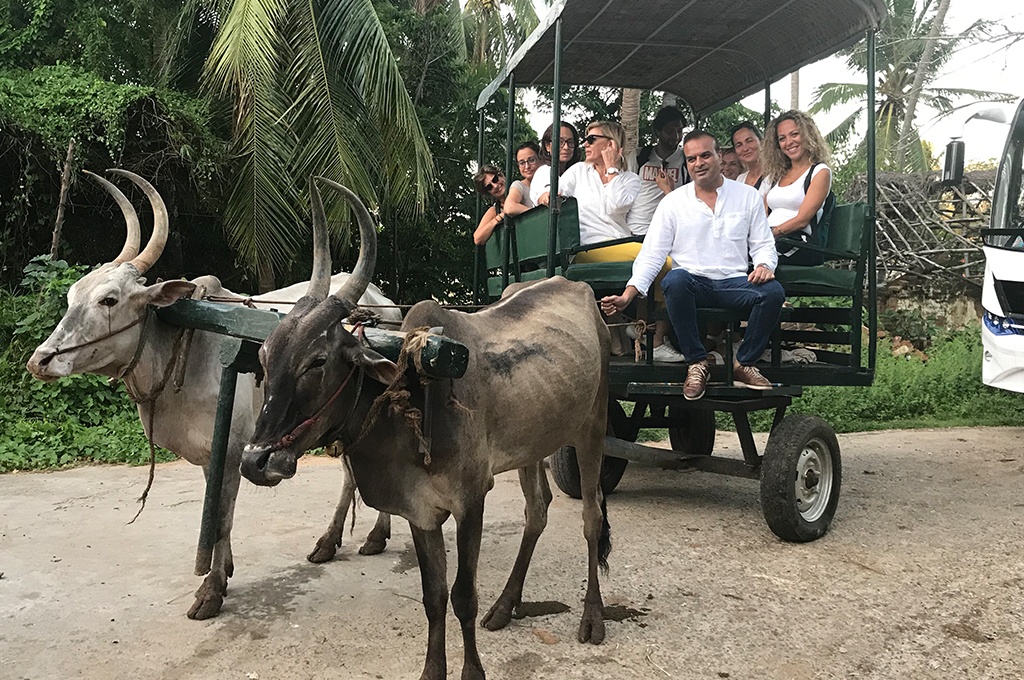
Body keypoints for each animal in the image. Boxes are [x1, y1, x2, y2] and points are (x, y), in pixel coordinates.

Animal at [26, 169, 394, 619]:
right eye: (71, 297)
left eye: (108, 300)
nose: (41, 360)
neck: (188, 344)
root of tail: (383, 302)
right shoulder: (211, 457)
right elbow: (214, 514)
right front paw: (226, 568)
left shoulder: (236, 452)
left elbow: (220, 518)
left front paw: (212, 589)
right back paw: (334, 541)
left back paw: (367, 535)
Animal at [239, 177, 612, 680]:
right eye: (264, 356)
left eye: (317, 361)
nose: (254, 461)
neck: (416, 393)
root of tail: (576, 287)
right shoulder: (420, 511)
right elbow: (433, 597)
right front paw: (433, 670)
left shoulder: (471, 501)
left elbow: (462, 597)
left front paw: (472, 671)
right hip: (533, 444)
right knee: (537, 512)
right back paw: (506, 604)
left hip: (593, 426)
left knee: (592, 518)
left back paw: (592, 616)